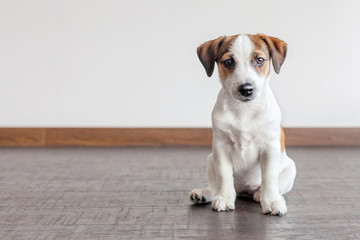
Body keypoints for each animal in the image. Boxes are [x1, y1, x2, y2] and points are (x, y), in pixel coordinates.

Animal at [190, 32, 296, 216]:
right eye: (228, 62)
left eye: (259, 60)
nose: (246, 89)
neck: (245, 110)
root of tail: (245, 190)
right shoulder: (220, 146)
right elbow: (224, 175)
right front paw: (224, 198)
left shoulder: (270, 147)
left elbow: (269, 176)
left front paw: (272, 201)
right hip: (211, 159)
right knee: (215, 185)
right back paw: (205, 194)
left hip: (290, 169)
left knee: (273, 186)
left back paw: (264, 195)